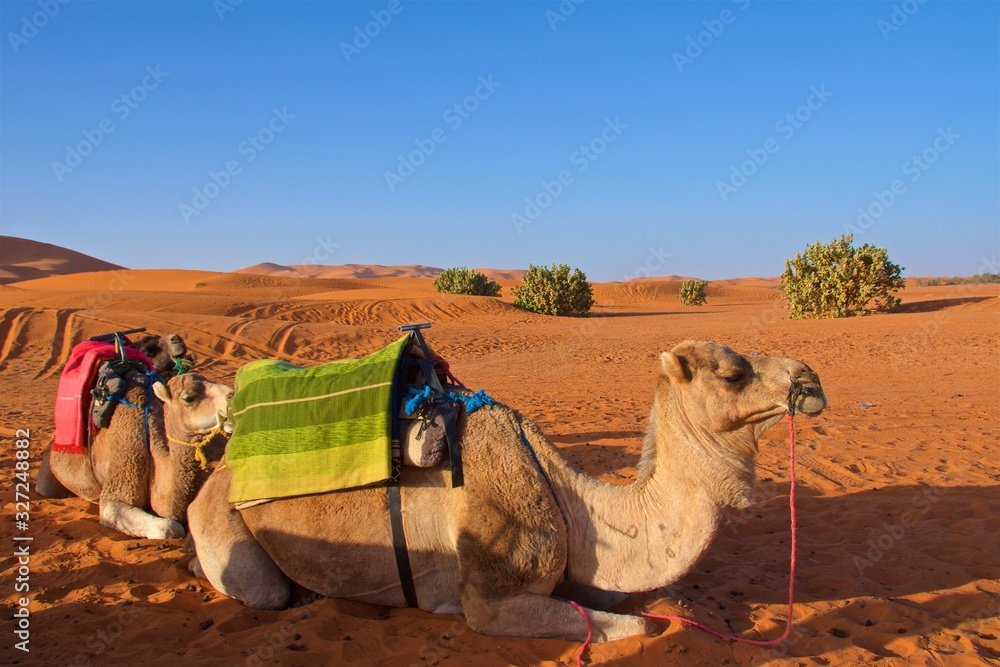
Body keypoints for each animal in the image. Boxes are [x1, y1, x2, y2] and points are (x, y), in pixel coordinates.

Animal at [187, 340, 826, 641]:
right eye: (734, 373)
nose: (810, 378)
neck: (570, 503)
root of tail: (212, 477)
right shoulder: (491, 601)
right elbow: (641, 626)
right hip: (226, 527)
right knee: (262, 590)